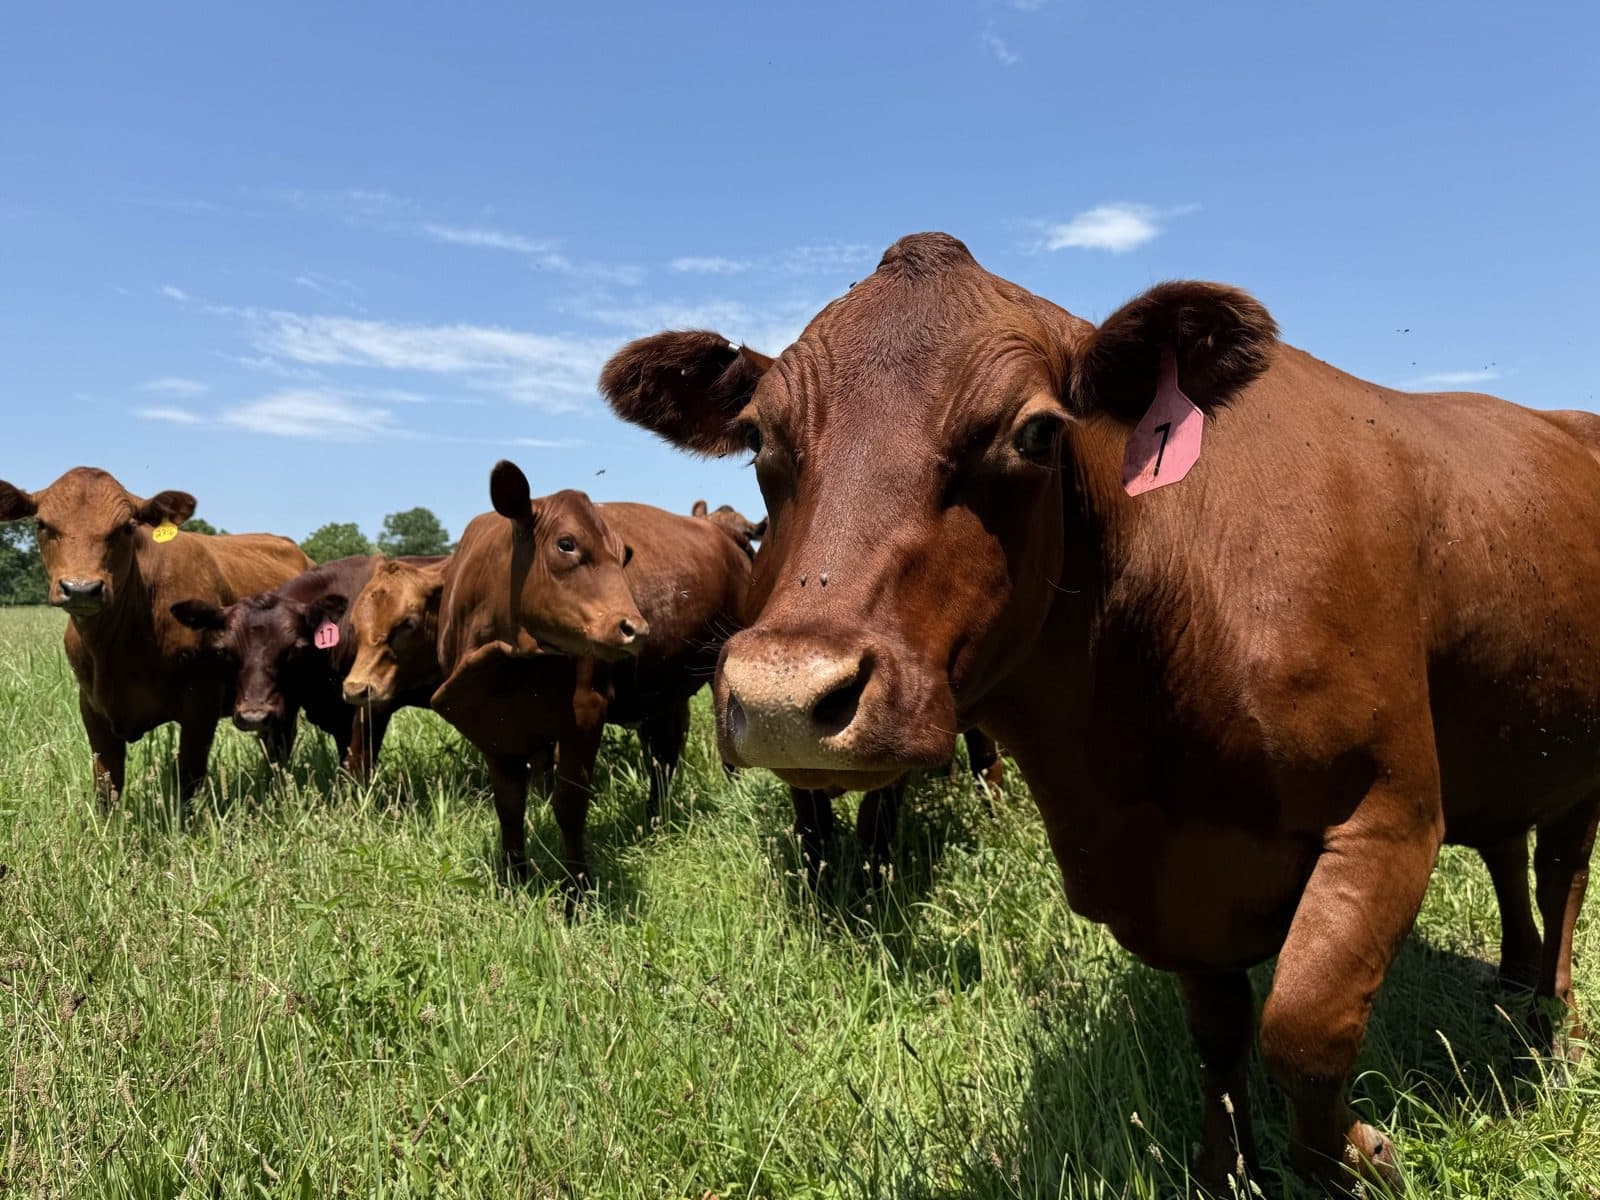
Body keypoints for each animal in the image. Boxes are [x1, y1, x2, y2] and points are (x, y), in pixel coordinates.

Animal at [0, 467, 310, 802]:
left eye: (126, 527)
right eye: (41, 524)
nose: (81, 588)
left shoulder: (202, 703)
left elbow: (188, 777)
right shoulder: (91, 706)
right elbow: (107, 783)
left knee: (280, 745)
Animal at [598, 231, 1600, 1193]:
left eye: (1036, 432)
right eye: (759, 438)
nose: (784, 697)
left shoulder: (1387, 813)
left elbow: (1305, 1026)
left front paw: (1360, 1156)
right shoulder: (1183, 878)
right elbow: (1220, 1033)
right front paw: (1225, 1168)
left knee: (1560, 876)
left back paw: (1554, 1026)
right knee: (1508, 851)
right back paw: (1512, 982)